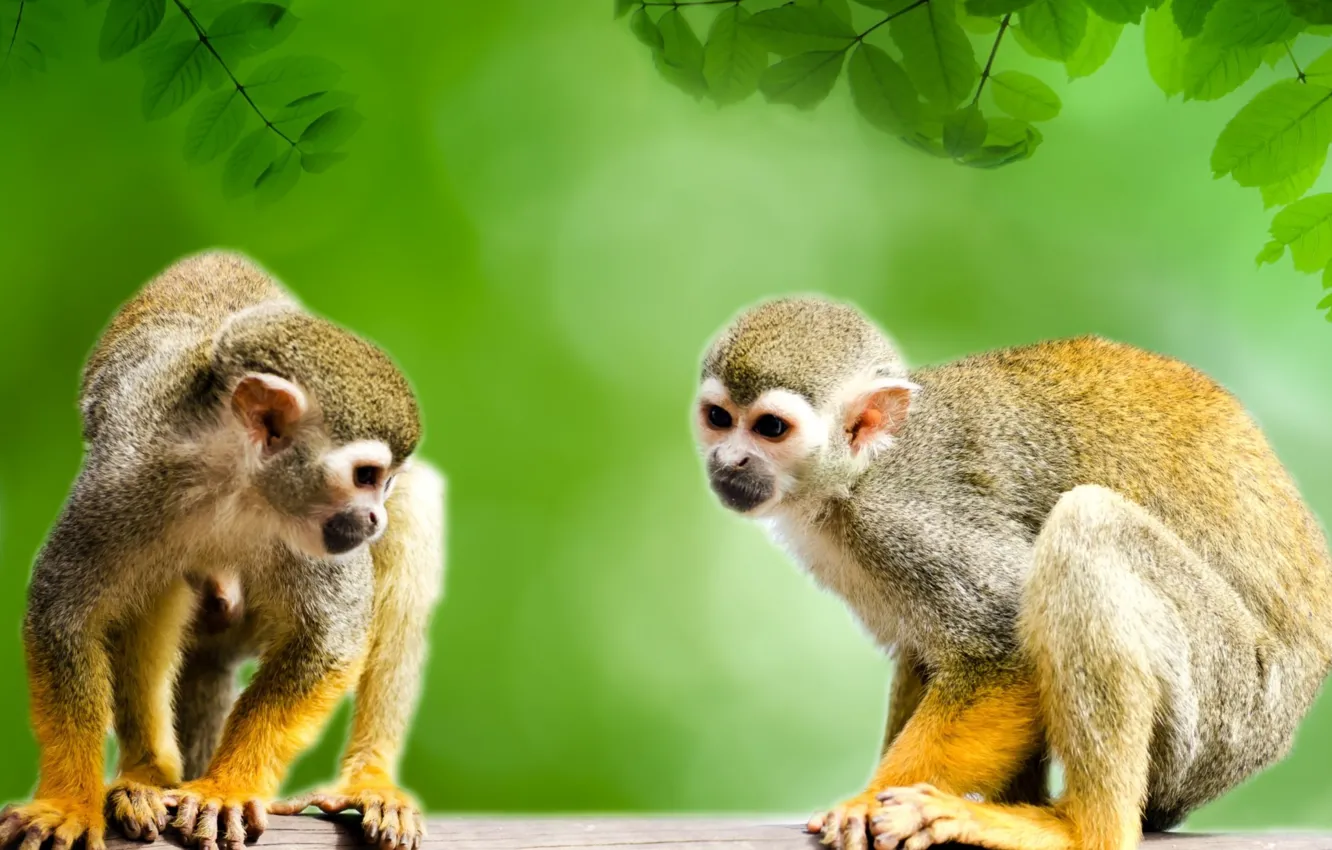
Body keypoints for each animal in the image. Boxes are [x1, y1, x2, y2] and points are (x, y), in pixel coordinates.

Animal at [0, 251, 442, 850]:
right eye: (367, 476)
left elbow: (330, 637)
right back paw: (147, 774)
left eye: (384, 482)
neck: (236, 481)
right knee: (159, 587)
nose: (374, 517)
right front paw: (68, 802)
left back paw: (369, 779)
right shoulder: (123, 476)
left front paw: (225, 789)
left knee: (414, 518)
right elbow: (63, 613)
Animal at [693, 296, 1332, 850]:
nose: (729, 461)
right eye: (719, 419)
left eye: (770, 429)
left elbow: (1002, 645)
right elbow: (927, 653)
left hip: (1230, 705)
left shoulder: (907, 520)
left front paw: (868, 802)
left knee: (1085, 527)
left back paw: (1082, 828)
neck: (858, 474)